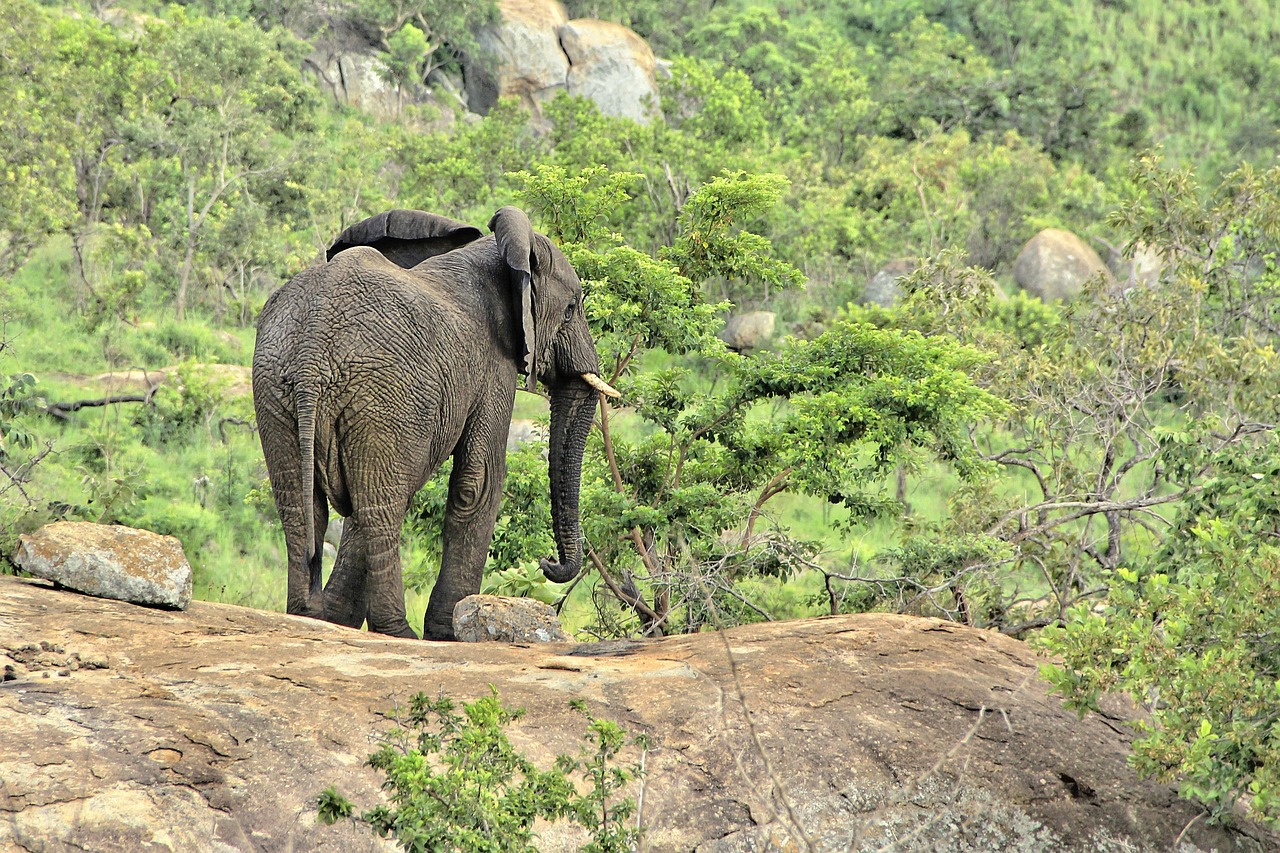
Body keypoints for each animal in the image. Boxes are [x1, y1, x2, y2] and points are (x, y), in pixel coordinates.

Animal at [250, 206, 619, 637]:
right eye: (573, 307)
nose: (547, 562)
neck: (498, 254)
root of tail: (312, 351)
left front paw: (337, 618)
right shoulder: (494, 366)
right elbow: (479, 481)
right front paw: (447, 634)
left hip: (278, 388)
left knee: (303, 505)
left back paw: (306, 614)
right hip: (382, 396)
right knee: (381, 505)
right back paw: (397, 630)